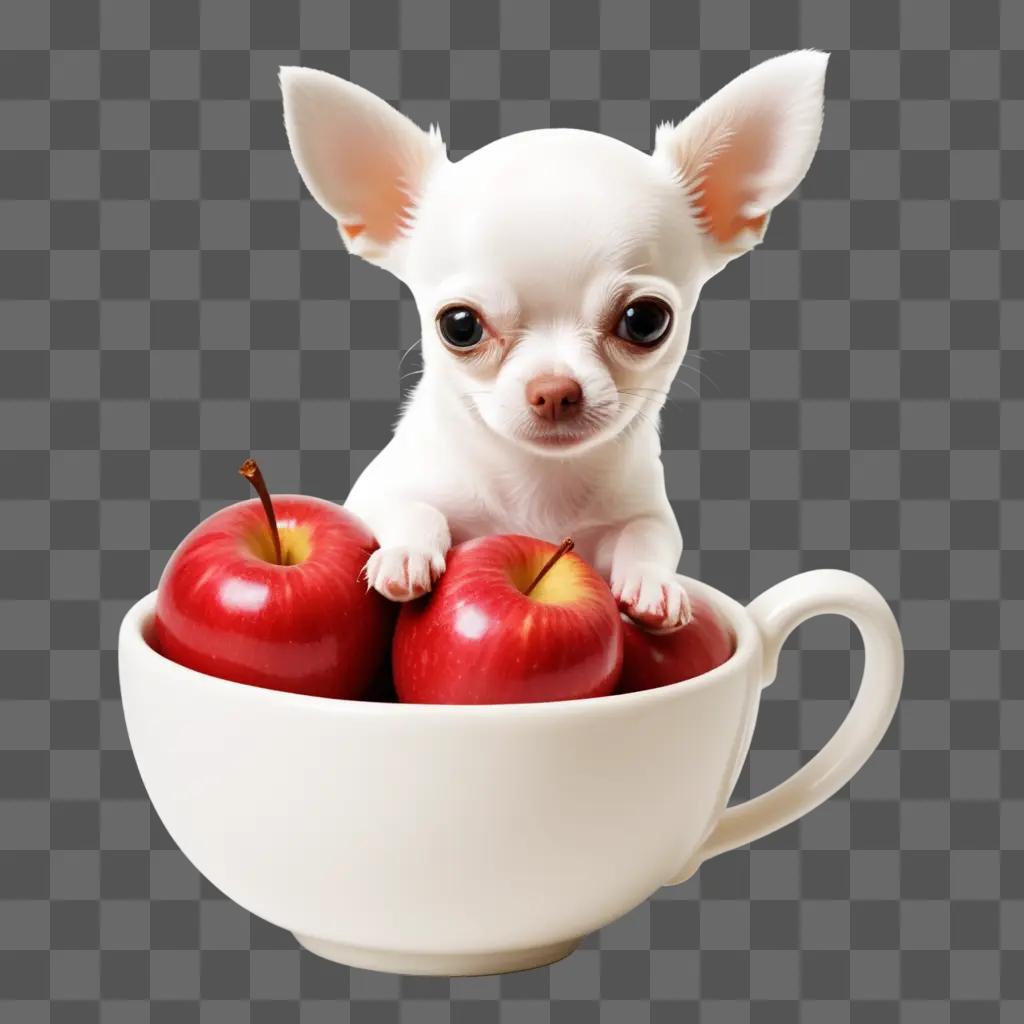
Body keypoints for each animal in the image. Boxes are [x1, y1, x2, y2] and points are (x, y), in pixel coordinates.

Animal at [284, 51, 827, 630]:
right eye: (459, 326)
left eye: (645, 320)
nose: (554, 390)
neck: (541, 482)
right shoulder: (377, 491)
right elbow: (411, 508)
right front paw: (406, 555)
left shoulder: (648, 514)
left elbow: (648, 538)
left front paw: (652, 584)